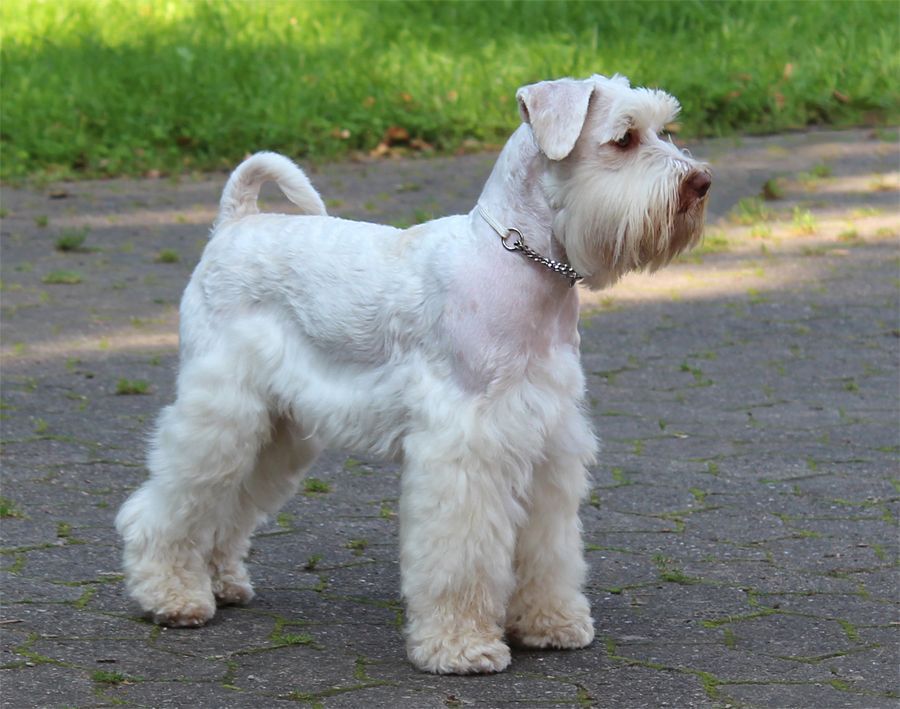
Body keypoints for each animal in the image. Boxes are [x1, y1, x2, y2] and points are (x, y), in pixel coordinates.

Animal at [116, 74, 710, 674]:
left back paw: (220, 581)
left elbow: (548, 548)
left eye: (663, 129)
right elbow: (461, 556)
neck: (517, 261)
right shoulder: (465, 446)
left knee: (228, 507)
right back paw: (174, 596)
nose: (702, 182)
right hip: (223, 413)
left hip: (277, 431)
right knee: (167, 506)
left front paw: (550, 622)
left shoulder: (548, 439)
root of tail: (235, 222)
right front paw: (461, 645)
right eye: (623, 138)